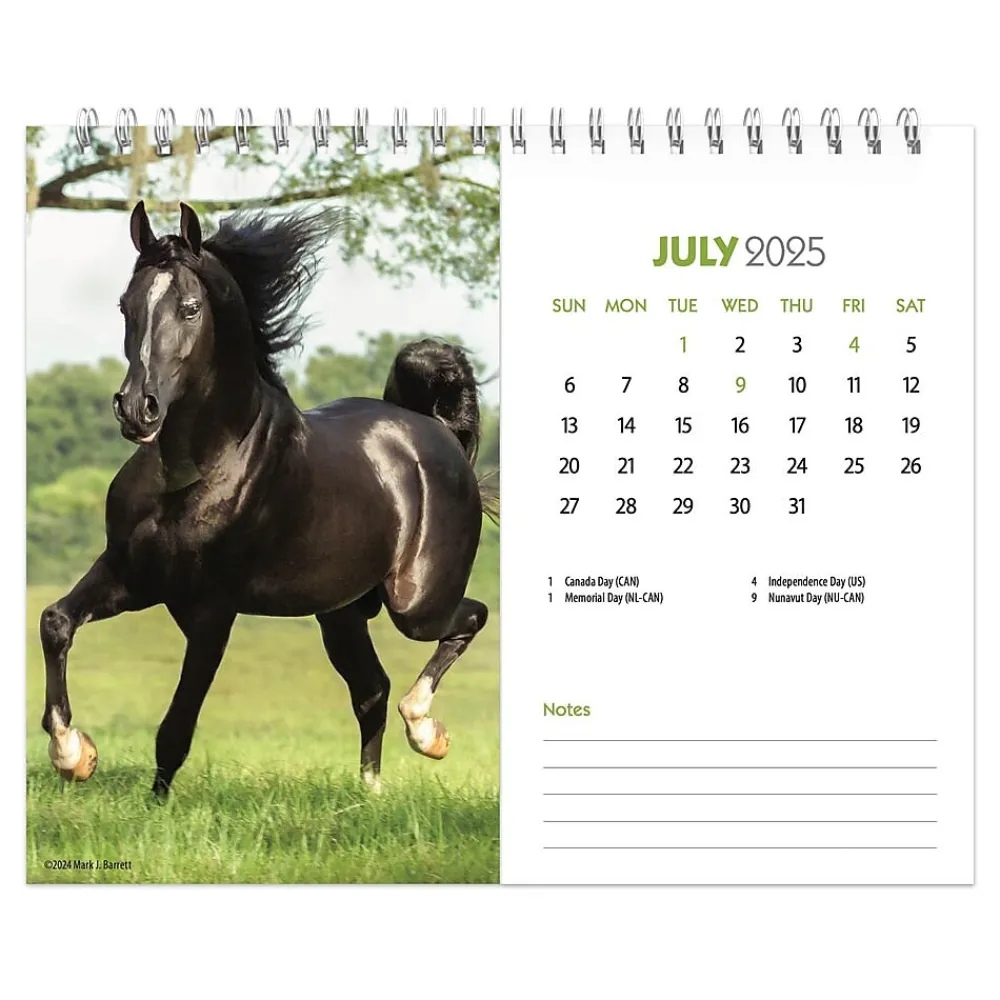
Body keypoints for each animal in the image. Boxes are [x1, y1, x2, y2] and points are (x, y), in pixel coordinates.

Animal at [40, 200, 495, 797]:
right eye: (125, 306)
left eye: (190, 308)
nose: (137, 408)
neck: (197, 469)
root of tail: (435, 431)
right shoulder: (129, 576)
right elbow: (55, 622)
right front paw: (73, 754)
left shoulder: (212, 608)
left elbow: (176, 726)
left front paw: (151, 802)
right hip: (340, 611)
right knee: (371, 689)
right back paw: (369, 795)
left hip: (415, 603)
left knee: (469, 620)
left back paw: (426, 731)